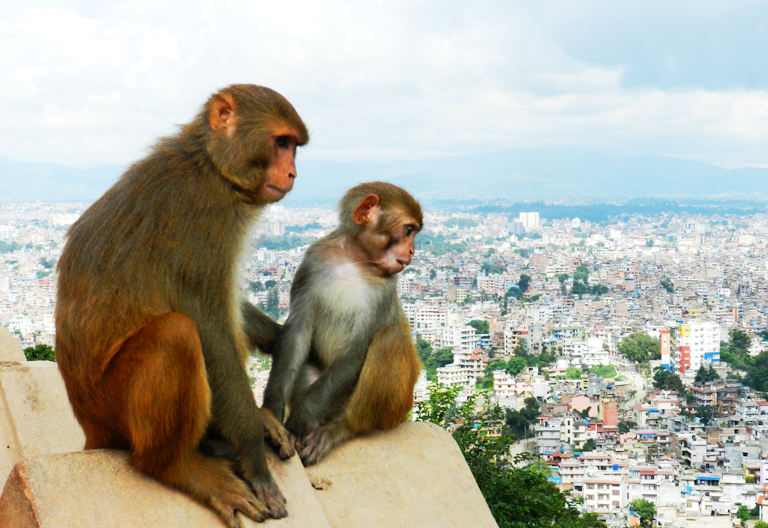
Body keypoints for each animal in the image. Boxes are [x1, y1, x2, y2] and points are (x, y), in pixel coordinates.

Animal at [55, 84, 308, 528]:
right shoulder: (202, 220)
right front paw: (255, 461)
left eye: (295, 147)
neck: (210, 166)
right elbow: (209, 323)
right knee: (176, 333)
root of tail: (91, 428)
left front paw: (280, 340)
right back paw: (176, 466)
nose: (293, 173)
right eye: (281, 143)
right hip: (114, 409)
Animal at [262, 182, 423, 466]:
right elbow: (297, 334)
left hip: (396, 407)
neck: (354, 260)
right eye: (408, 230)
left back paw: (341, 429)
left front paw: (299, 419)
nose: (412, 251)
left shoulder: (384, 289)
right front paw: (273, 417)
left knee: (390, 337)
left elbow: (358, 349)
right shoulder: (313, 262)